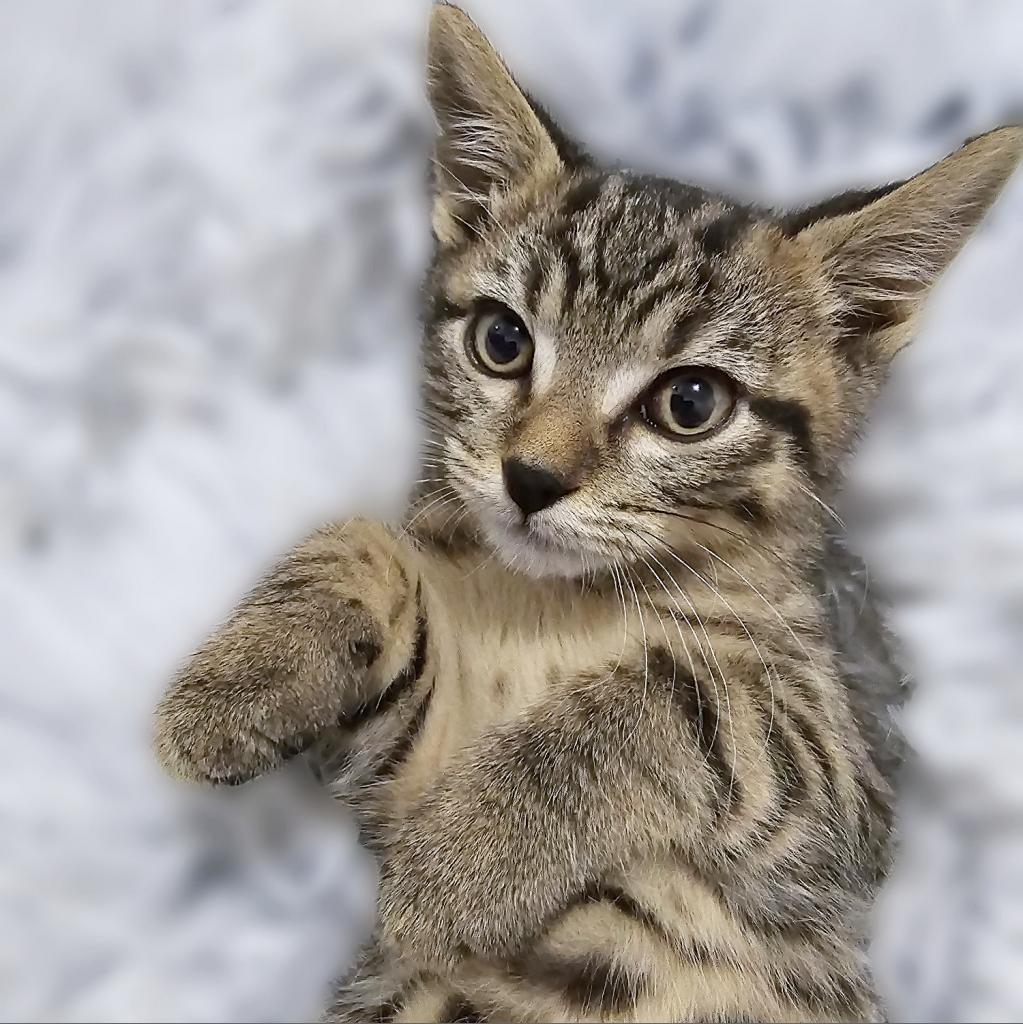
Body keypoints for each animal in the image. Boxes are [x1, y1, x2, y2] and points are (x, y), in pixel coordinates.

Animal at [153, 8, 1023, 1024]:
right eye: (501, 341)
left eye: (690, 402)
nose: (530, 479)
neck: (556, 606)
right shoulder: (401, 752)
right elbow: (364, 538)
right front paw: (235, 686)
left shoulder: (843, 773)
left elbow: (689, 696)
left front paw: (461, 860)